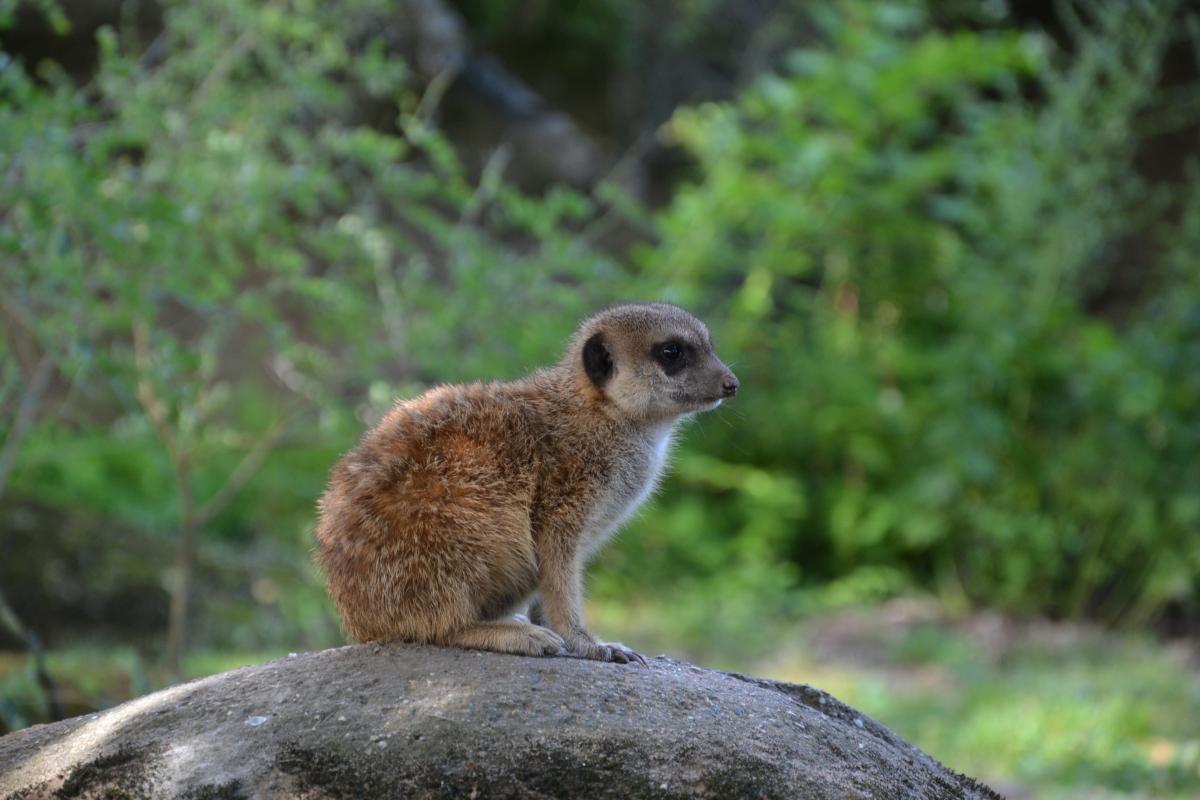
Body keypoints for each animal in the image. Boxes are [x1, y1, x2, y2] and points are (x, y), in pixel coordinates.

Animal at [314, 303, 738, 664]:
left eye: (710, 346)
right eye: (672, 352)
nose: (732, 383)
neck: (598, 414)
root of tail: (360, 623)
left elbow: (552, 578)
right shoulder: (566, 491)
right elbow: (558, 567)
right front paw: (587, 642)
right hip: (457, 524)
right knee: (436, 622)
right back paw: (502, 632)